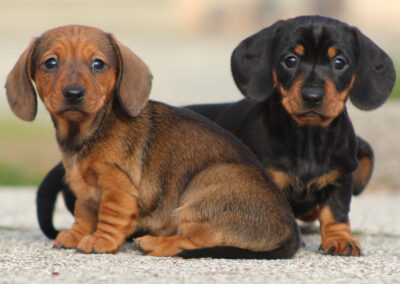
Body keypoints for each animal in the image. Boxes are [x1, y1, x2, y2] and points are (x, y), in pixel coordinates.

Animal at [5, 25, 300, 258]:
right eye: (50, 63)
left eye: (98, 63)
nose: (74, 94)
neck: (92, 129)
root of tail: (290, 232)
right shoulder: (86, 192)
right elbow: (84, 213)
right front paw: (75, 235)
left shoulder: (119, 188)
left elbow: (110, 216)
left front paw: (100, 241)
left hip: (208, 183)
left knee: (189, 242)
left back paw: (152, 244)